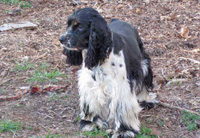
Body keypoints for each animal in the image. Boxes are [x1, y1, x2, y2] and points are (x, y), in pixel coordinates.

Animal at [59, 7, 156, 138]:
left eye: (80, 27)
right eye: (68, 25)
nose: (61, 39)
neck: (100, 57)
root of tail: (118, 20)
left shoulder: (121, 87)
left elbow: (122, 109)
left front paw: (123, 130)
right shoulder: (90, 84)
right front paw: (90, 122)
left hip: (143, 63)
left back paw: (146, 99)